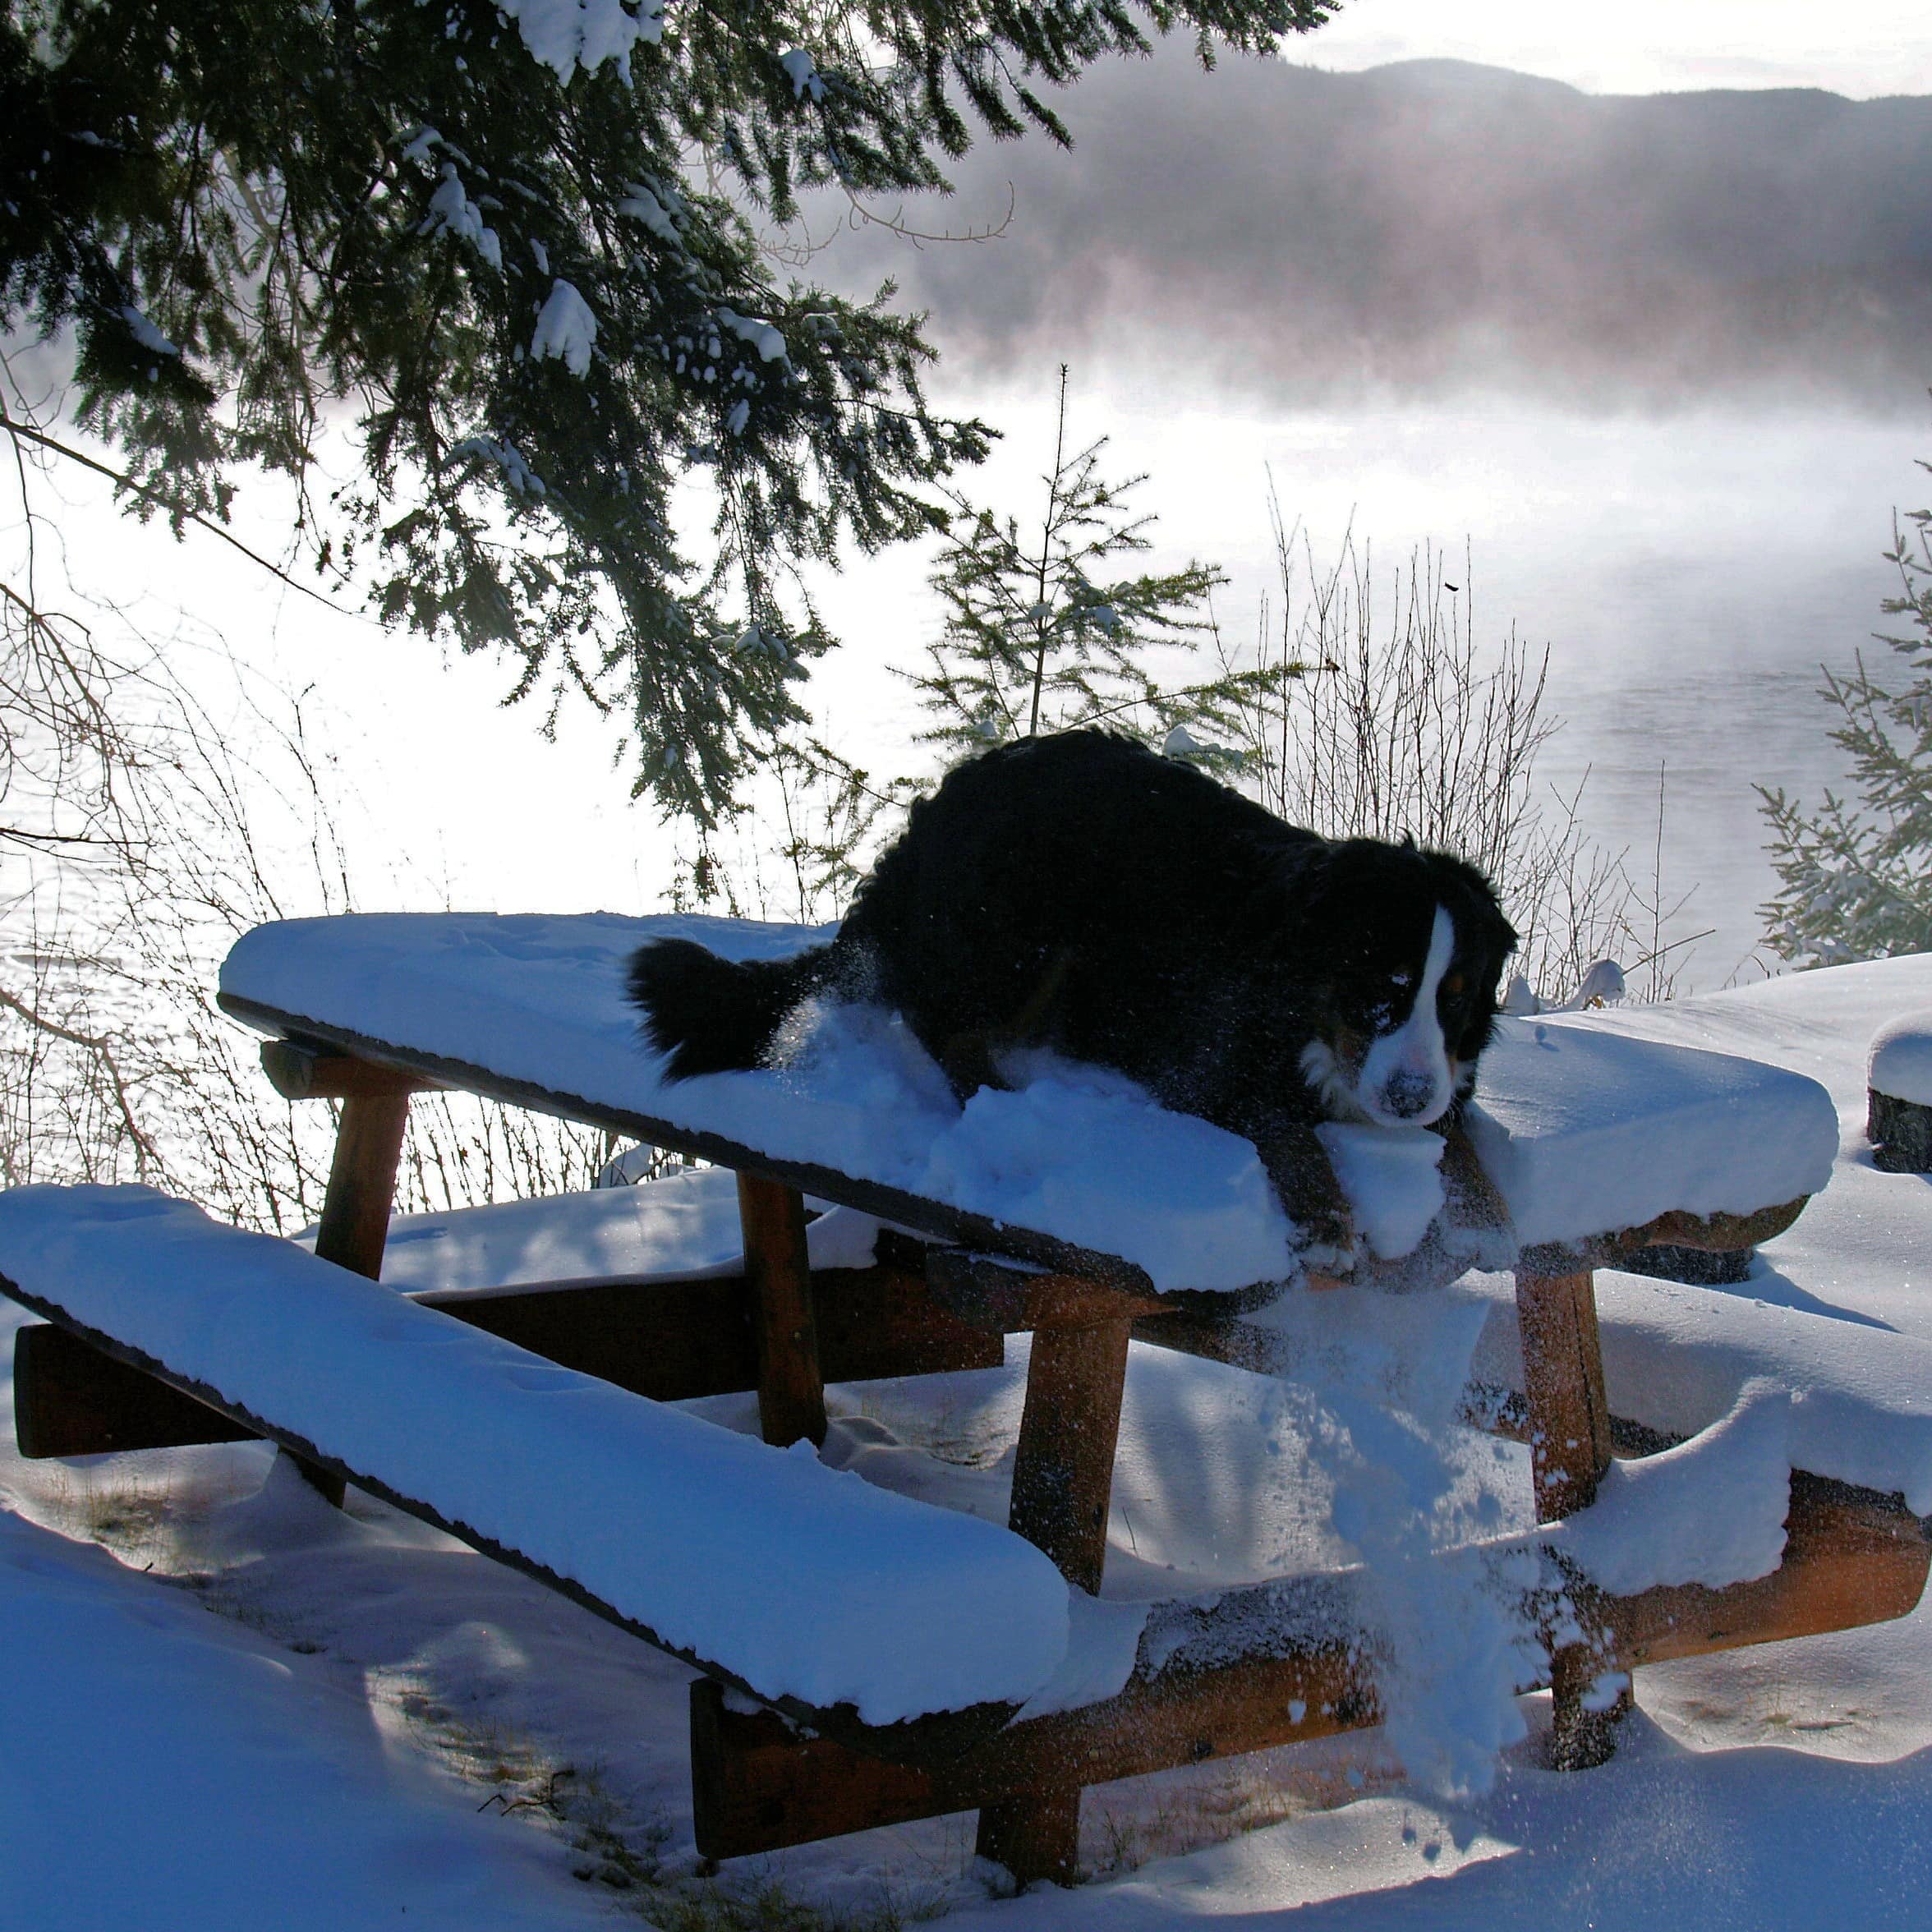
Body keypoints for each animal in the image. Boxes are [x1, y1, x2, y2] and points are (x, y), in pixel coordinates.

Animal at [626, 730, 1514, 1198]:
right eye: (1380, 984)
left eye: (1458, 998)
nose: (1408, 1097)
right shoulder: (1208, 1066)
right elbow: (1291, 1138)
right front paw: (1330, 1224)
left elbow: (1469, 1155)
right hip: (1019, 929)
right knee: (947, 1031)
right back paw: (1001, 1091)